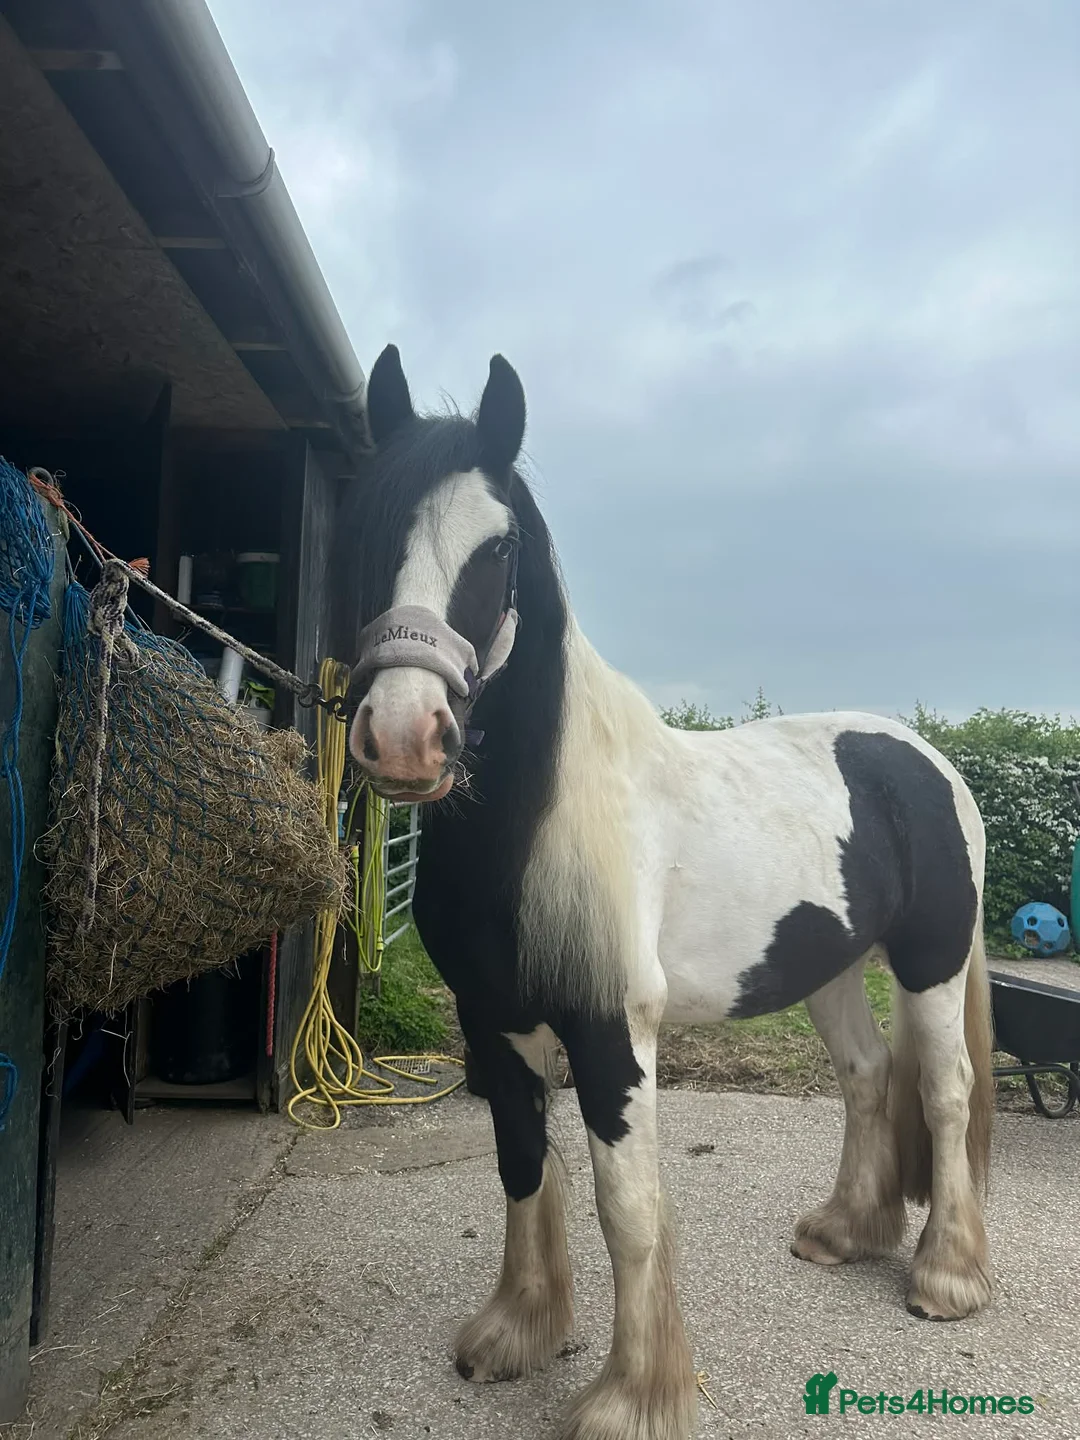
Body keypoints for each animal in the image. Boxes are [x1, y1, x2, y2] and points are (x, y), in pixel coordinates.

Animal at [342, 345, 994, 1440]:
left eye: (499, 546)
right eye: (368, 527)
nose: (403, 736)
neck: (542, 823)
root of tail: (925, 760)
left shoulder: (612, 1031)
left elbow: (629, 1210)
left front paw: (632, 1398)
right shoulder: (491, 1023)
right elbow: (524, 1169)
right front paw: (515, 1335)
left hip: (929, 963)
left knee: (945, 1091)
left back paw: (945, 1278)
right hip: (829, 969)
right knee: (867, 1076)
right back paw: (842, 1232)